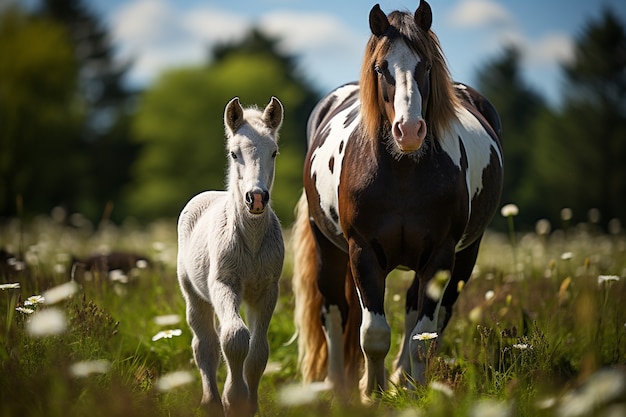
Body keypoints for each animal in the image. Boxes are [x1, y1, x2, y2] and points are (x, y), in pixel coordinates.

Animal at [292, 0, 502, 396]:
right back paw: (339, 388)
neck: (402, 173)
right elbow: (373, 334)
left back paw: (402, 381)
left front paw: (413, 394)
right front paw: (371, 394)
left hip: (464, 256)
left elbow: (423, 336)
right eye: (380, 67)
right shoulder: (362, 252)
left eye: (427, 66)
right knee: (334, 310)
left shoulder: (441, 255)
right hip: (328, 248)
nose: (409, 131)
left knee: (423, 312)